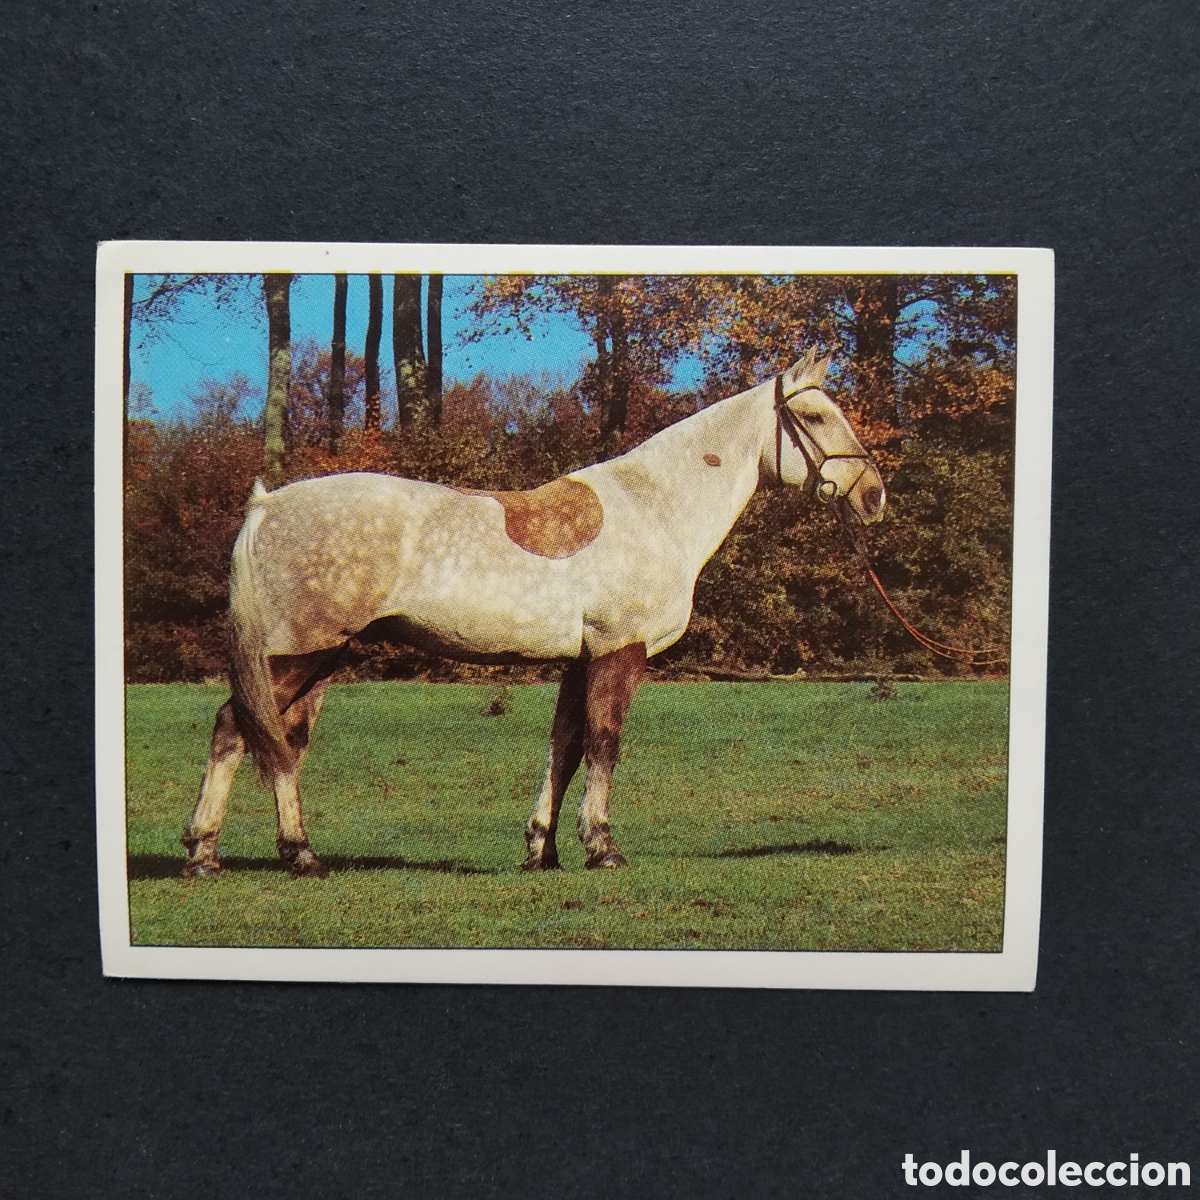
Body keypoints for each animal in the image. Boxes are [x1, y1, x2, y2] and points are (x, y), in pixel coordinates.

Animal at [181, 348, 885, 878]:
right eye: (815, 416)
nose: (874, 495)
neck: (656, 508)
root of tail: (269, 505)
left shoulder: (580, 659)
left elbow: (565, 747)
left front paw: (541, 849)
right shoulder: (619, 650)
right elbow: (604, 742)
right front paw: (602, 847)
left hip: (325, 657)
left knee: (283, 741)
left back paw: (279, 853)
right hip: (298, 653)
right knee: (236, 728)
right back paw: (223, 856)